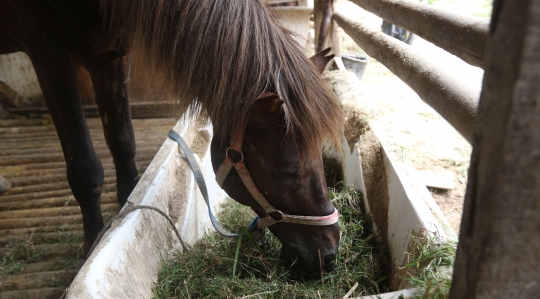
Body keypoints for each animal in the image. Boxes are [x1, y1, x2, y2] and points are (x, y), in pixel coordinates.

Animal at [0, 0, 344, 272]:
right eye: (287, 171)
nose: (328, 253)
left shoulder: (109, 55)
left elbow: (122, 139)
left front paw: (126, 206)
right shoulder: (49, 55)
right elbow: (85, 169)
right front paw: (92, 245)